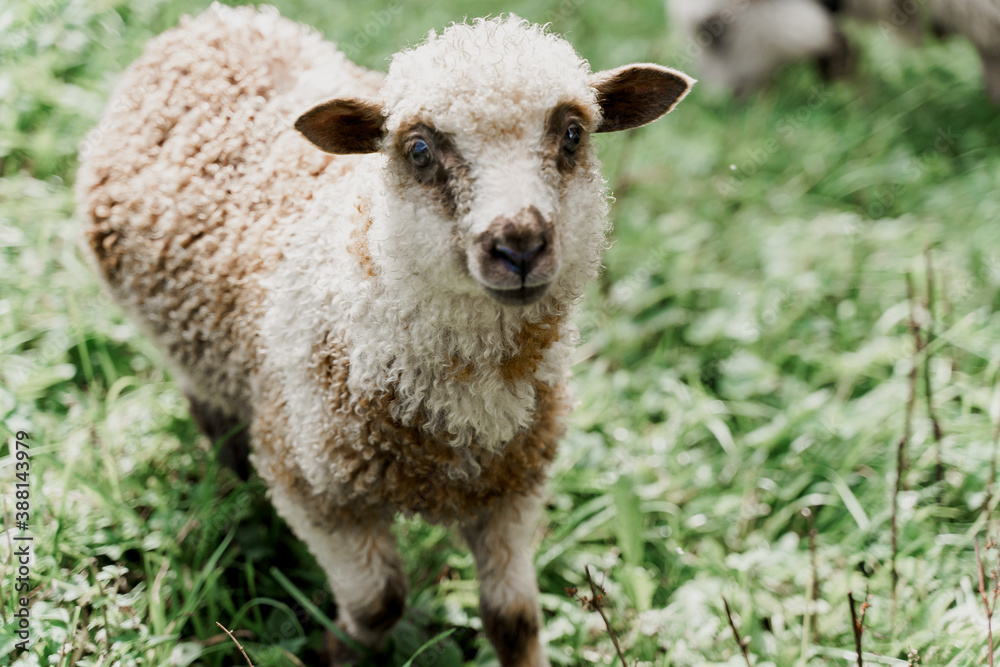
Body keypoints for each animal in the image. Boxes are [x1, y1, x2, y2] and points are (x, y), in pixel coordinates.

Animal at [76, 5, 696, 667]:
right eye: (418, 148)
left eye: (574, 134)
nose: (519, 244)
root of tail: (213, 21)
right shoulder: (311, 484)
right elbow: (380, 604)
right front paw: (333, 648)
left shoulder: (514, 484)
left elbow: (513, 619)